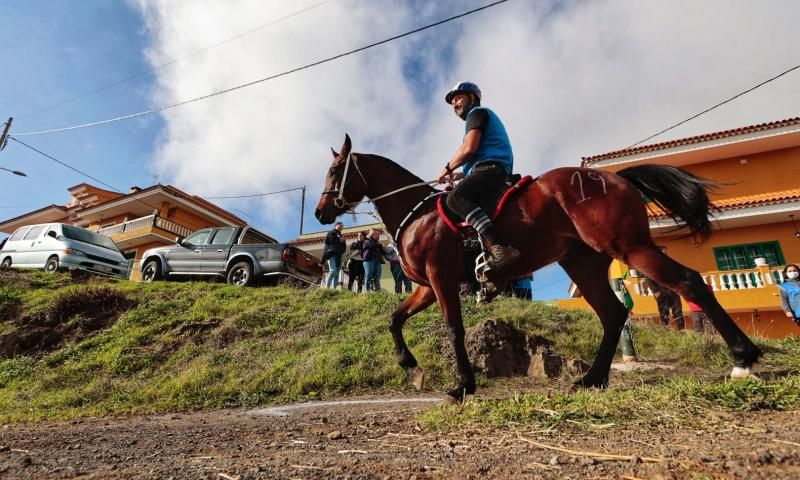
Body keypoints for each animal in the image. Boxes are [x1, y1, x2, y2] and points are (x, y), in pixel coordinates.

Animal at [315, 134, 762, 402]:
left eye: (335, 171)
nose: (320, 213)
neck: (418, 212)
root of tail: (615, 178)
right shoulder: (426, 287)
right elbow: (394, 319)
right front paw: (412, 369)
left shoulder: (441, 280)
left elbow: (454, 329)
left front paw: (463, 385)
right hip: (583, 263)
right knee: (613, 313)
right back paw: (593, 378)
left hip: (630, 247)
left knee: (689, 282)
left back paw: (743, 358)